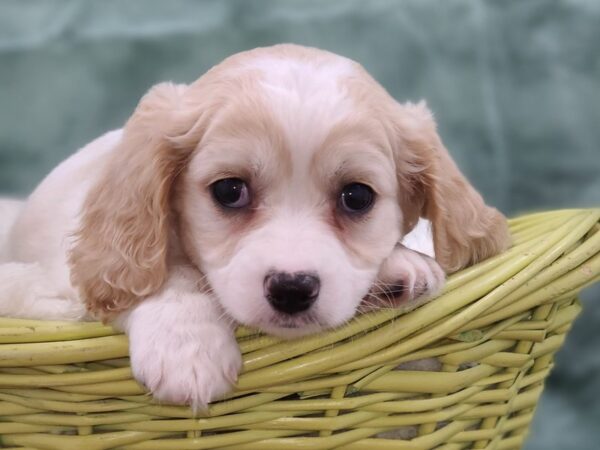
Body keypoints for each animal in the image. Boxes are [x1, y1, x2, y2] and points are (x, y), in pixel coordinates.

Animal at [0, 44, 510, 410]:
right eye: (230, 191)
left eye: (357, 197)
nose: (292, 288)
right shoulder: (71, 281)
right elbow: (167, 273)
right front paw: (188, 348)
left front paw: (404, 264)